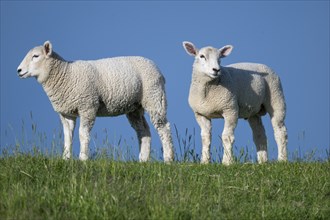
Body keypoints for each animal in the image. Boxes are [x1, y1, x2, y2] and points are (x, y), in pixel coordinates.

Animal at [17, 40, 175, 162]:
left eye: (36, 56)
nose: (18, 70)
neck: (66, 74)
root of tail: (157, 68)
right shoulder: (66, 113)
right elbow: (68, 136)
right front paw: (66, 158)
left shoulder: (87, 106)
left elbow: (82, 134)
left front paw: (83, 158)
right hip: (135, 107)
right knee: (143, 131)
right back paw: (143, 160)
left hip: (154, 97)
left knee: (164, 128)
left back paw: (168, 159)